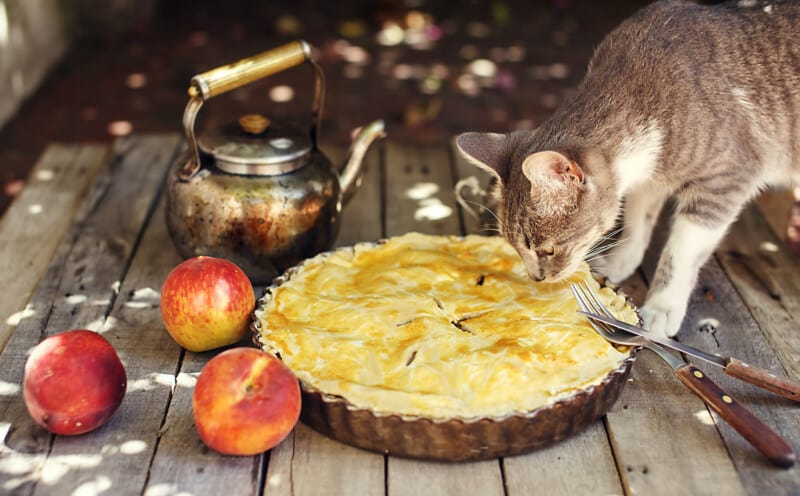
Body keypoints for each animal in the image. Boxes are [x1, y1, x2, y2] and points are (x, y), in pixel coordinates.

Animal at [456, 0, 800, 338]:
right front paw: (620, 263)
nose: (536, 277)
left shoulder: (726, 179)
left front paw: (662, 306)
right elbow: (637, 224)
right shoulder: (649, 181)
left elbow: (680, 251)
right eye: (515, 247)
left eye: (548, 250)